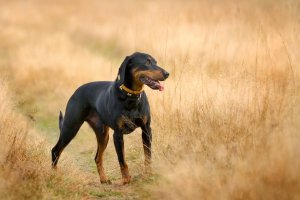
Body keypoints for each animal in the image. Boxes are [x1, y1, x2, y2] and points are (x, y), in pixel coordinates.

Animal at [51, 51, 169, 184]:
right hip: (71, 127)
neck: (131, 97)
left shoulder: (146, 129)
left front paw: (148, 174)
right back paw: (54, 175)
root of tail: (76, 91)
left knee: (97, 157)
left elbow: (147, 155)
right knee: (56, 150)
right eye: (147, 62)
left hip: (103, 135)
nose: (167, 74)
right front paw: (126, 179)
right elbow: (122, 160)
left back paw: (104, 179)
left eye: (155, 62)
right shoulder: (117, 134)